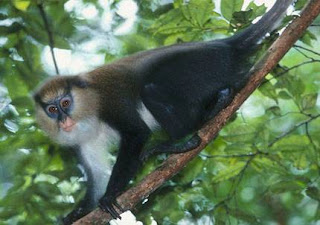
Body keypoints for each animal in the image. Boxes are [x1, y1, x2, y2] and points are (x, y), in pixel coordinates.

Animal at [33, 0, 294, 223]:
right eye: (52, 109)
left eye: (65, 103)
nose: (63, 120)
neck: (87, 108)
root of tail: (225, 44)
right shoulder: (83, 142)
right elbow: (96, 179)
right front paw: (74, 215)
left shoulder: (110, 102)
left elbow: (136, 133)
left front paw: (110, 196)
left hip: (198, 68)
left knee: (150, 90)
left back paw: (187, 137)